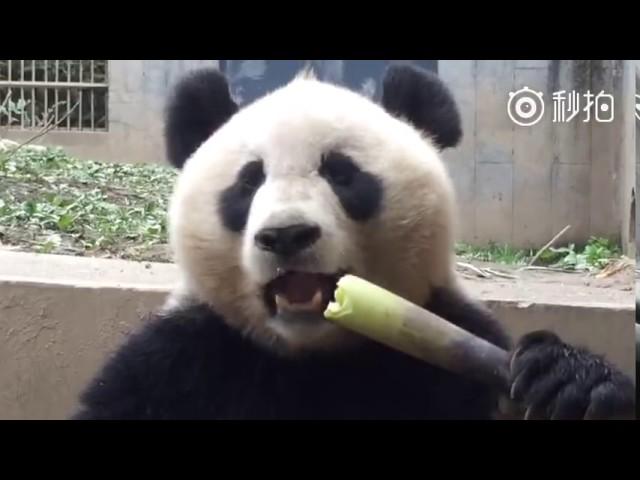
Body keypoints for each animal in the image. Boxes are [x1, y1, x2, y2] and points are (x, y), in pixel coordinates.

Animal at [71, 64, 636, 420]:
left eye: (342, 174)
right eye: (248, 183)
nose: (287, 235)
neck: (313, 357)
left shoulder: (448, 356)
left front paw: (569, 378)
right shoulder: (187, 358)